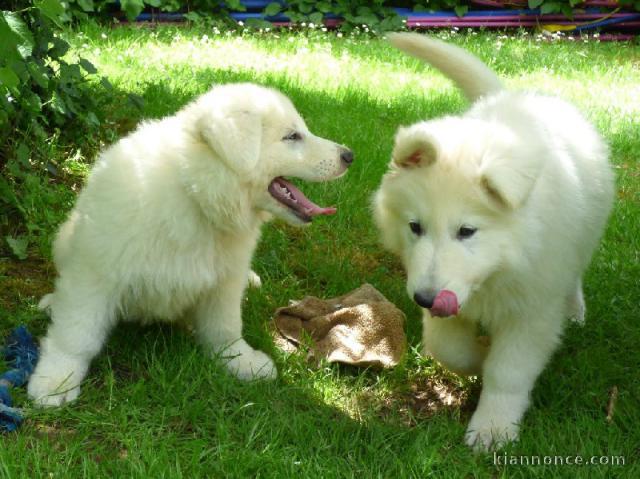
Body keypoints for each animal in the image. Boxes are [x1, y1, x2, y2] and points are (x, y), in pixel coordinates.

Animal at [28, 83, 356, 408]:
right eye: (292, 136)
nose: (349, 155)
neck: (195, 195)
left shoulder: (225, 280)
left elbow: (225, 328)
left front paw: (240, 361)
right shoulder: (96, 272)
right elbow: (76, 333)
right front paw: (56, 380)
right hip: (66, 239)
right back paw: (52, 303)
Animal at [376, 35, 616, 452]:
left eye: (467, 231)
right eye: (415, 227)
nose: (425, 299)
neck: (498, 272)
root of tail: (517, 96)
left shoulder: (533, 310)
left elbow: (508, 372)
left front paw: (493, 430)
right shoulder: (445, 295)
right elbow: (449, 349)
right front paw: (477, 359)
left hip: (580, 243)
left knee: (573, 277)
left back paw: (574, 310)